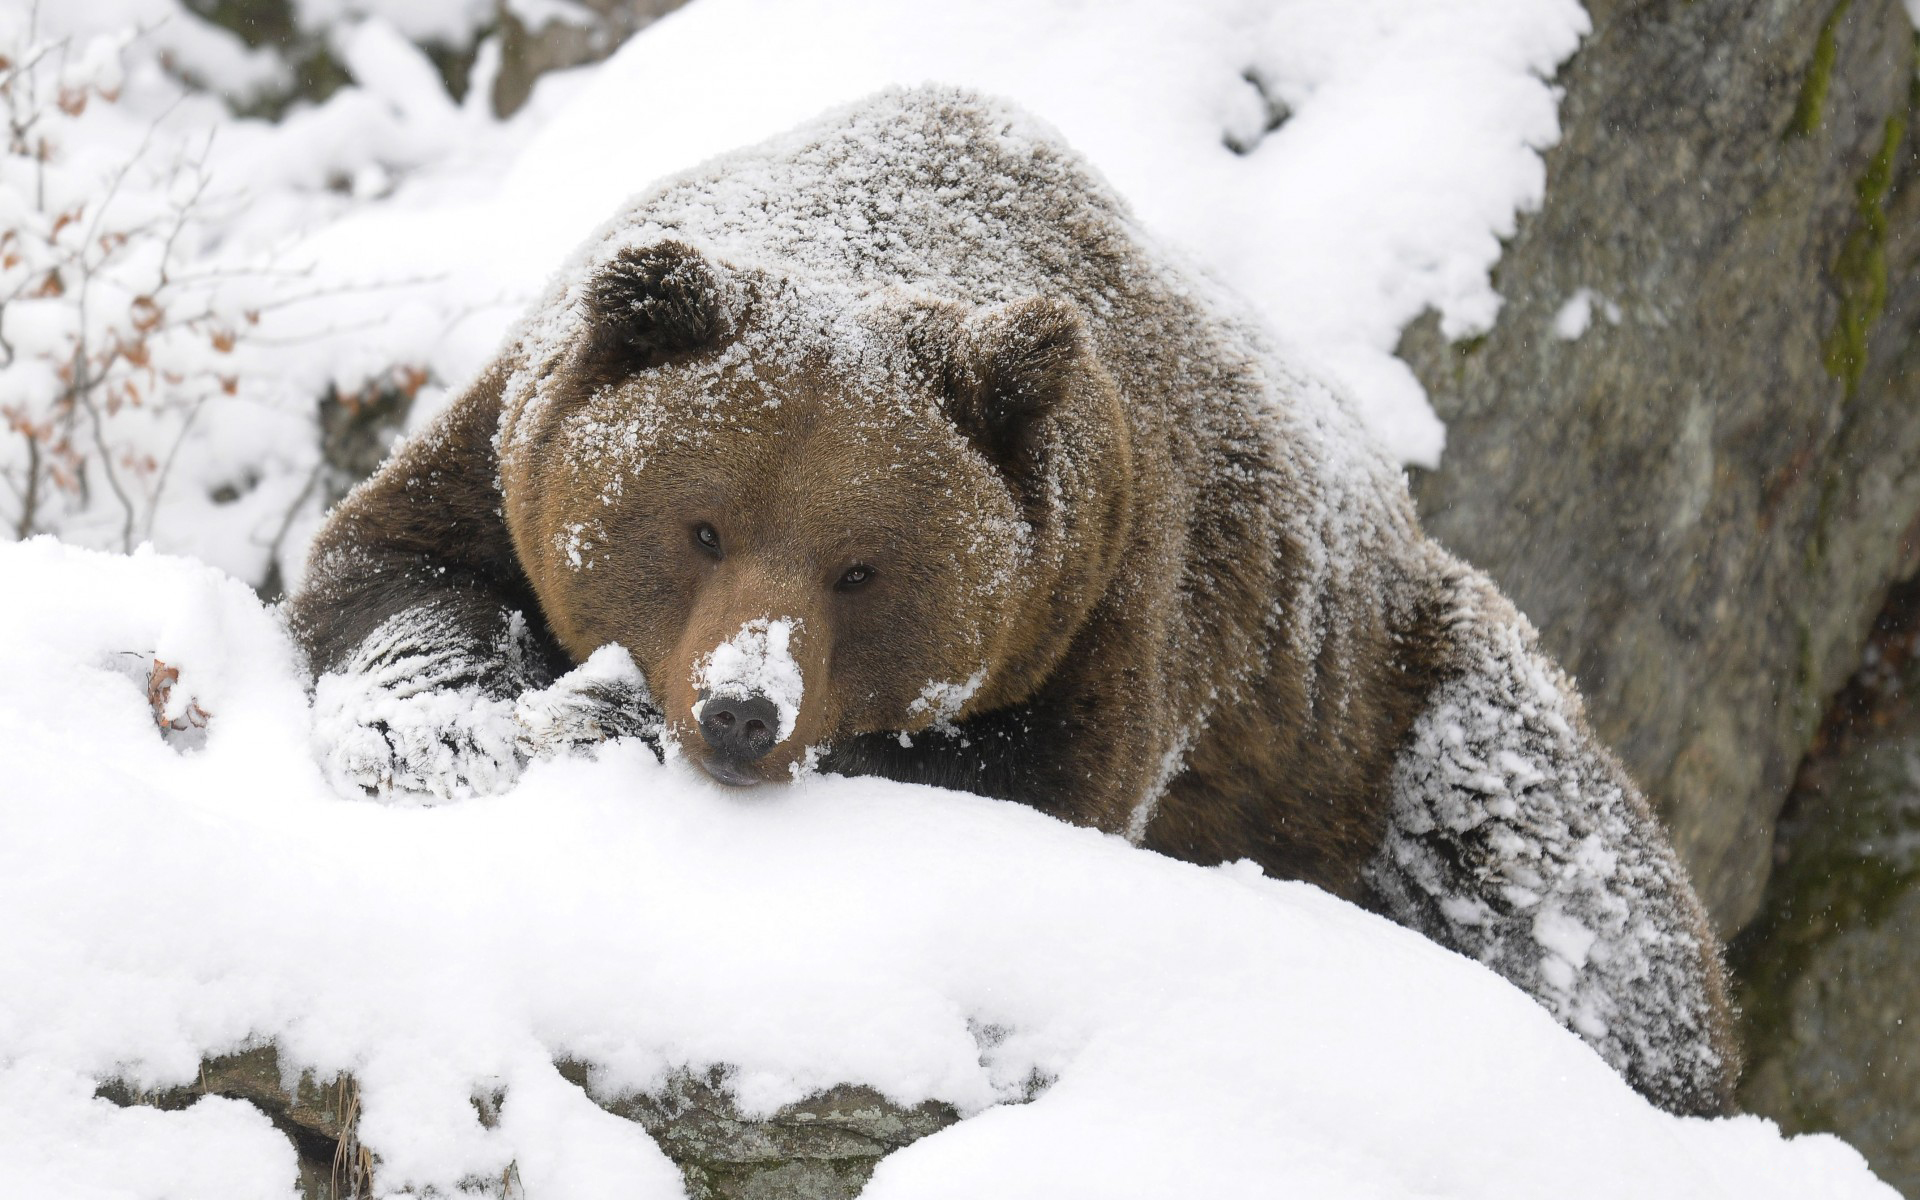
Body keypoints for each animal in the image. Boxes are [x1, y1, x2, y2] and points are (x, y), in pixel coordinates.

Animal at [284, 82, 1743, 1113]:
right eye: (700, 525)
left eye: (861, 567)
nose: (744, 710)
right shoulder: (503, 446)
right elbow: (393, 576)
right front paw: (445, 727)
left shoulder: (1109, 605)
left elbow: (1018, 781)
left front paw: (595, 717)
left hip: (1391, 712)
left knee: (1564, 890)